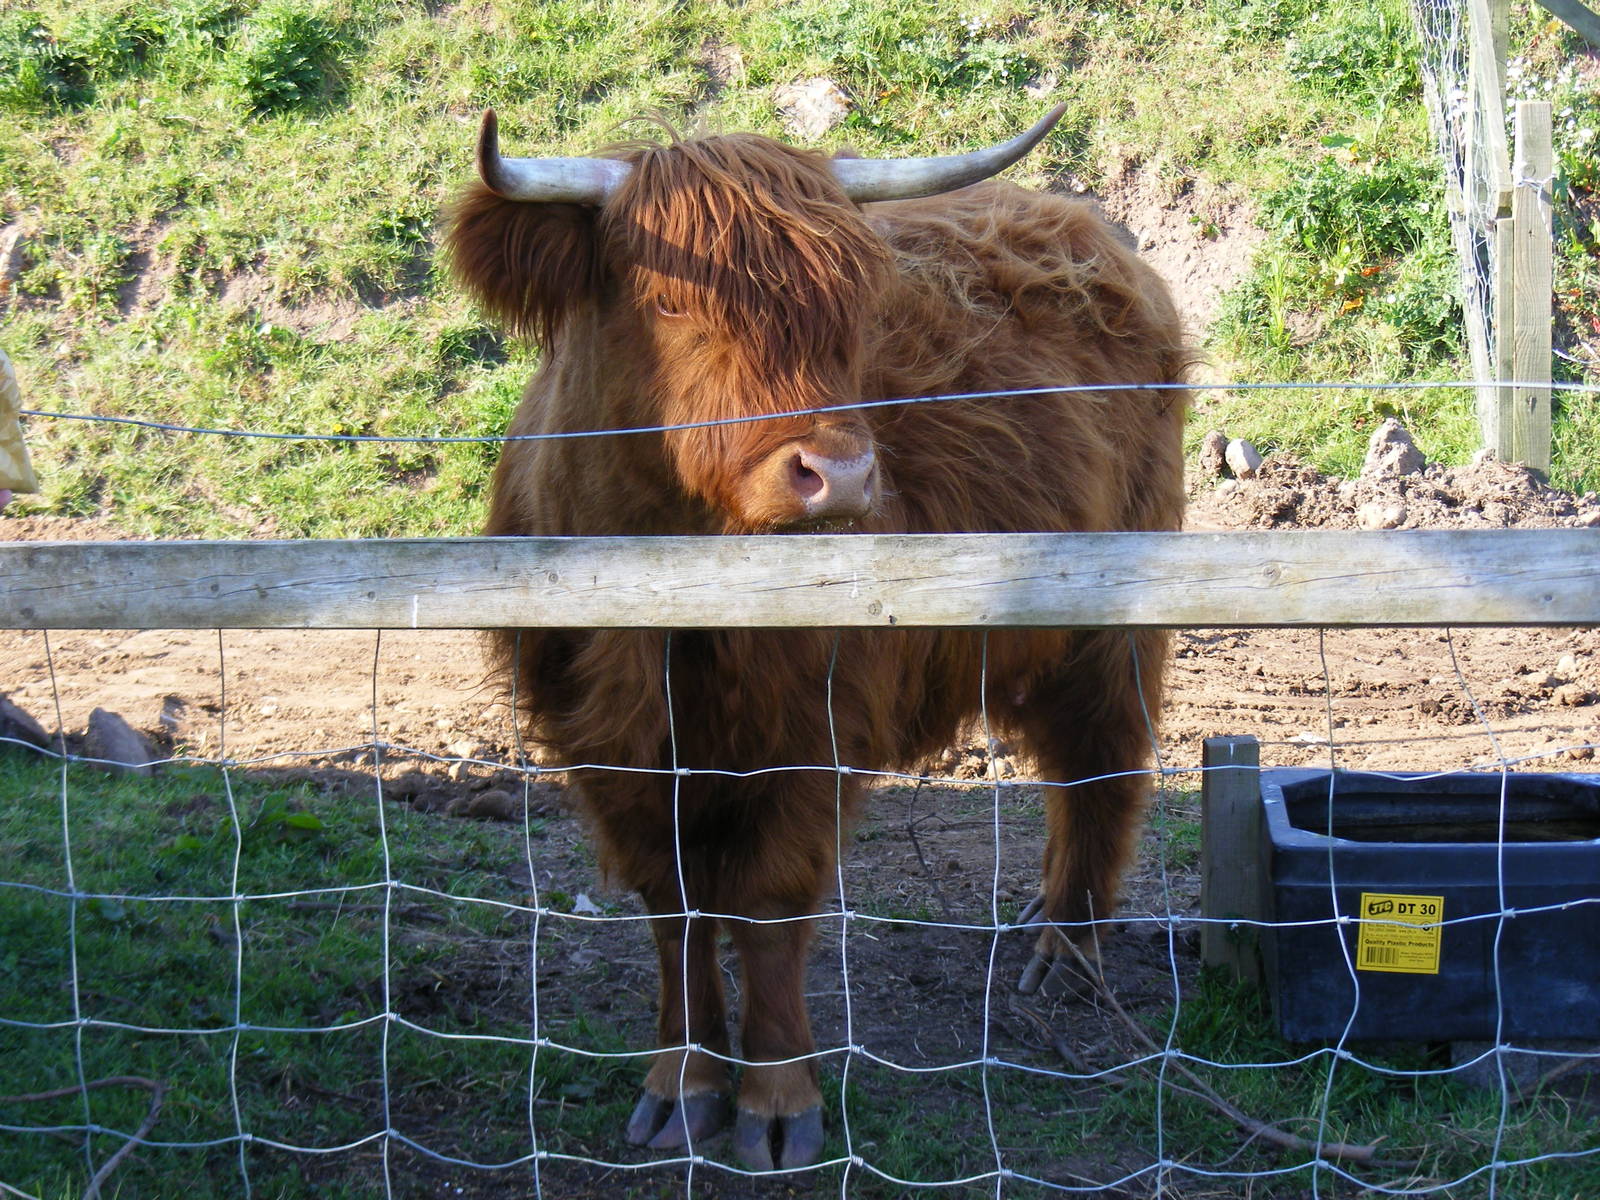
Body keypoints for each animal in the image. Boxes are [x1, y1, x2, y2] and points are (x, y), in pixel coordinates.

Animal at [444, 107, 1188, 1172]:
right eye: (668, 302)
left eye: (849, 309)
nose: (838, 476)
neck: (667, 603)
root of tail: (1088, 226)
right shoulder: (606, 749)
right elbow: (672, 906)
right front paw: (681, 1086)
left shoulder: (811, 734)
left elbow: (767, 903)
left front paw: (776, 1102)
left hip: (1107, 623)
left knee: (1102, 764)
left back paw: (1068, 949)